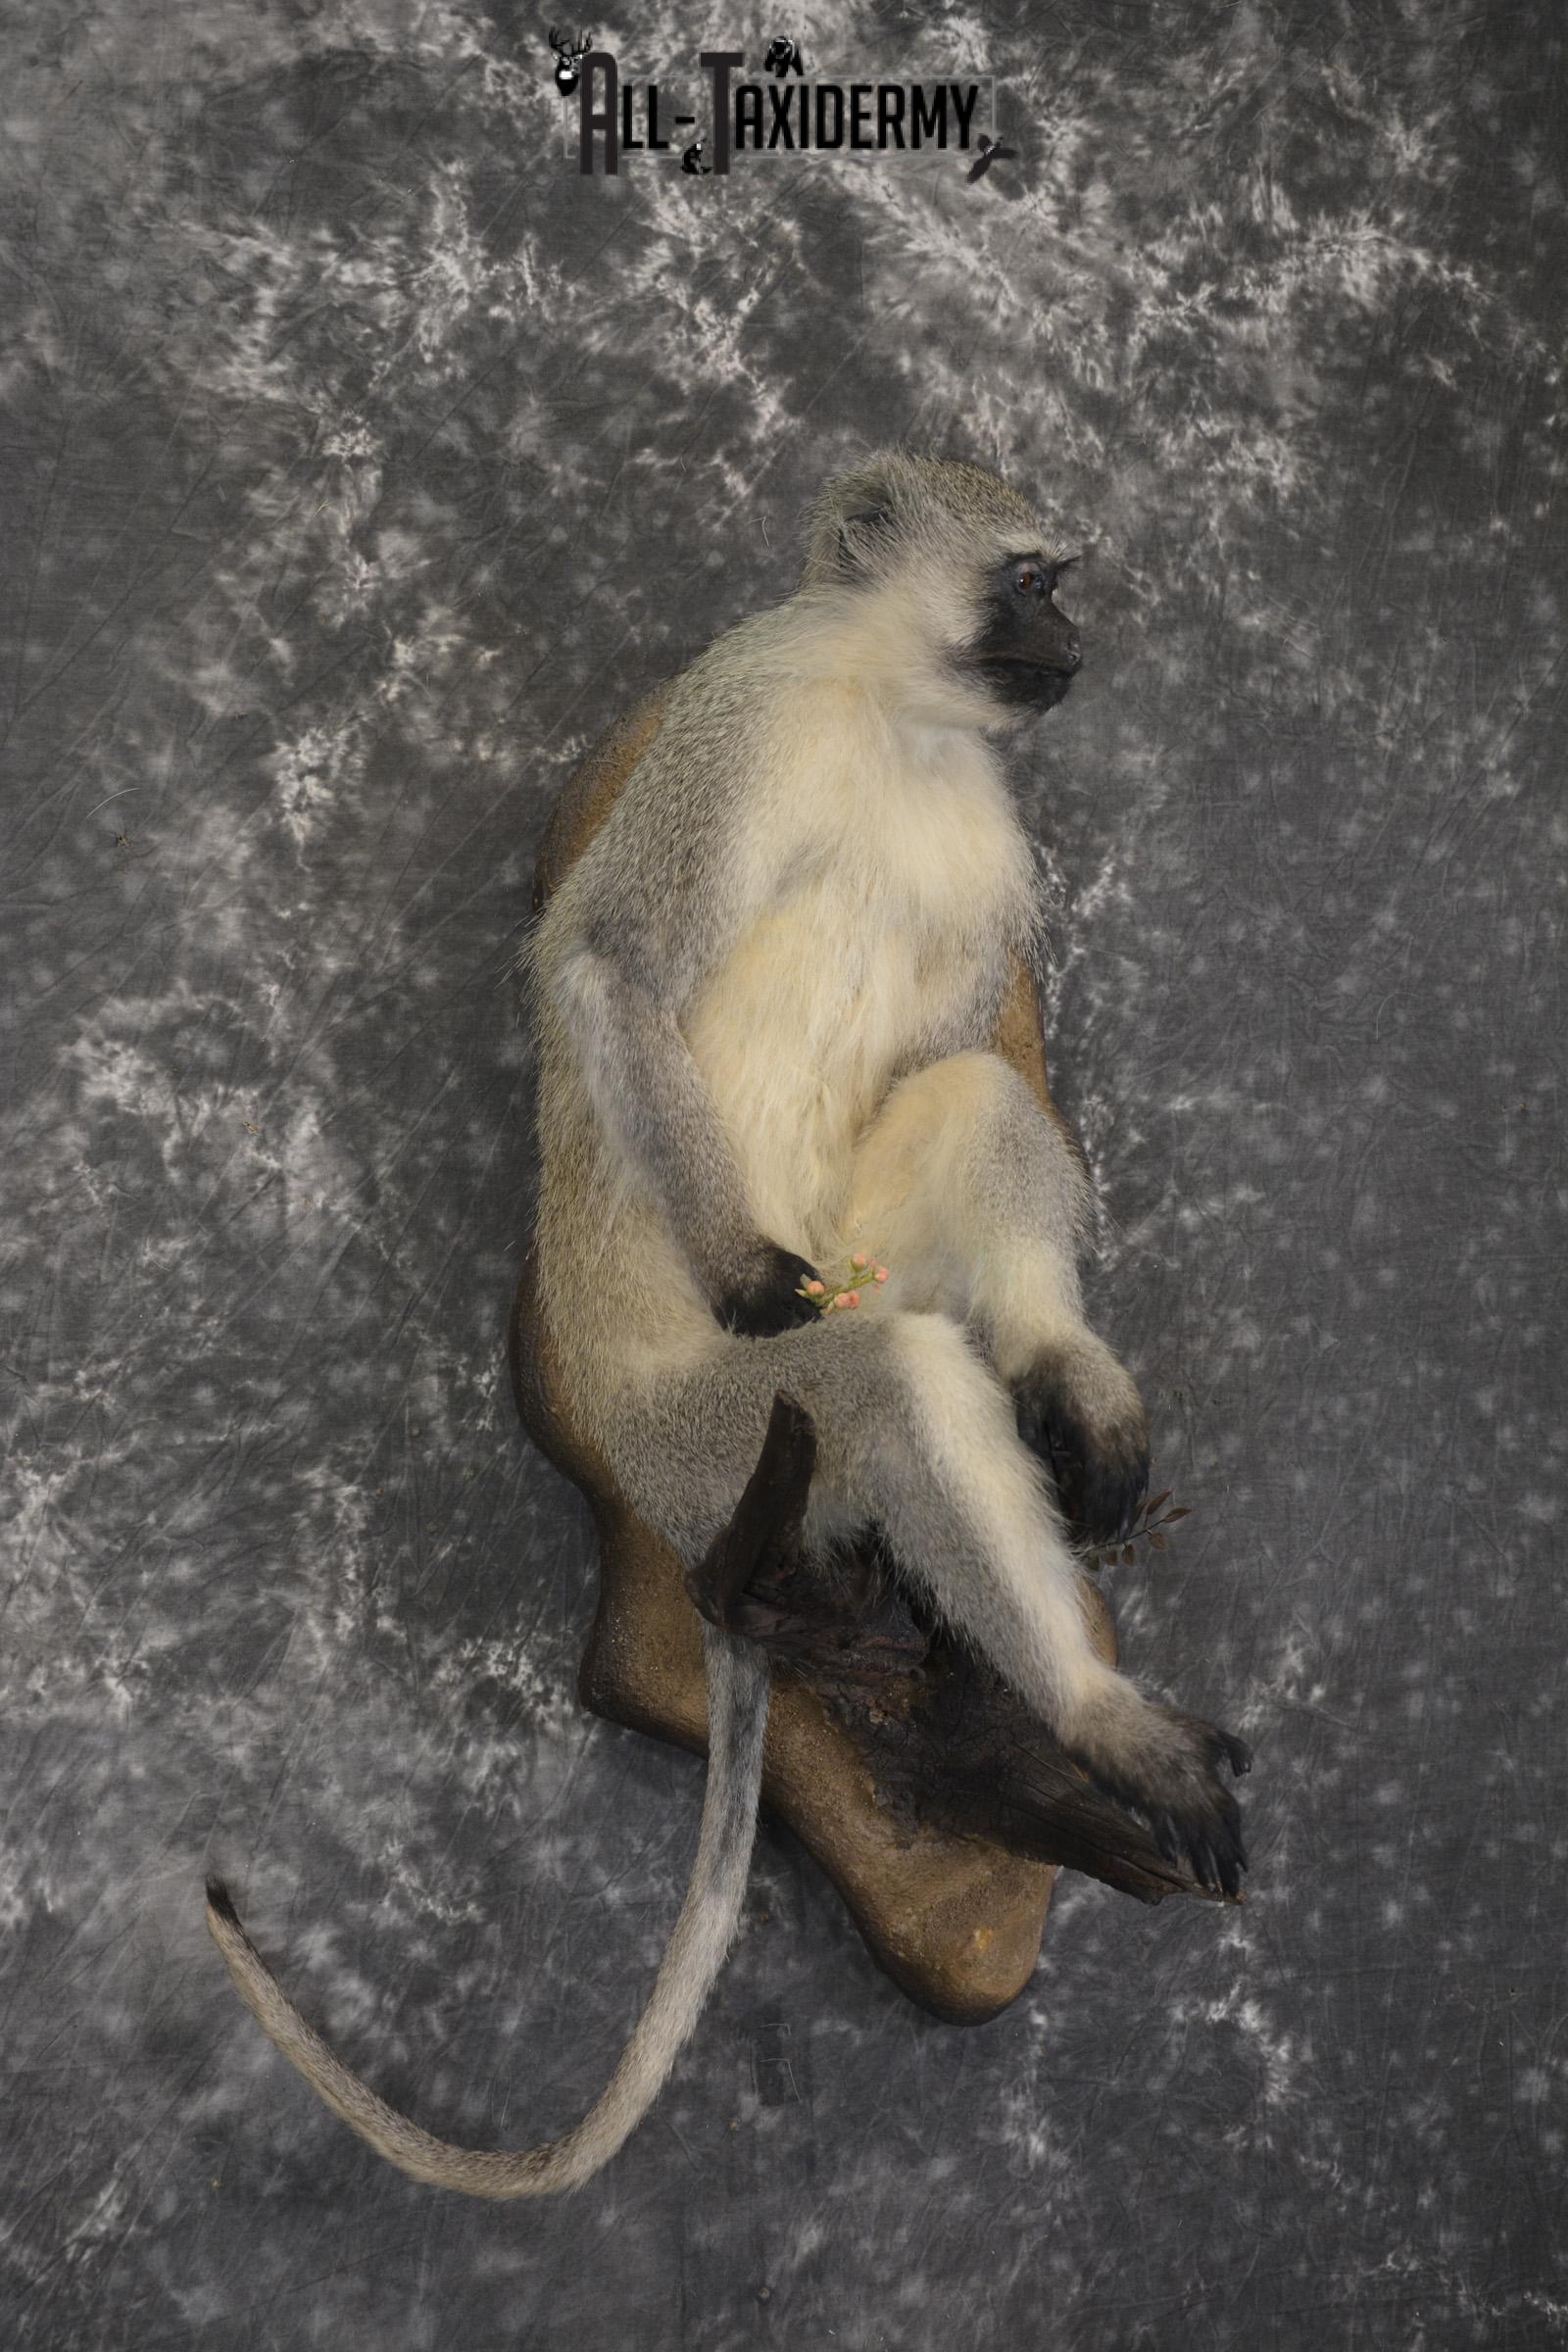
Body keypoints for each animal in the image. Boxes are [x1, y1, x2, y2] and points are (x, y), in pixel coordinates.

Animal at [207, 449, 1250, 2199]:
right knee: (881, 1381)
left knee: (969, 1109)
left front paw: (1075, 1388)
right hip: (713, 1438)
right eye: (1030, 581)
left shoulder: (987, 834)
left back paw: (1054, 1386)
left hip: (866, 1258)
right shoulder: (731, 718)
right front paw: (740, 1267)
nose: (1079, 643)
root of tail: (674, 1514)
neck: (895, 715)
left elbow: (965, 1051)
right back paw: (1096, 1720)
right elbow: (608, 963)